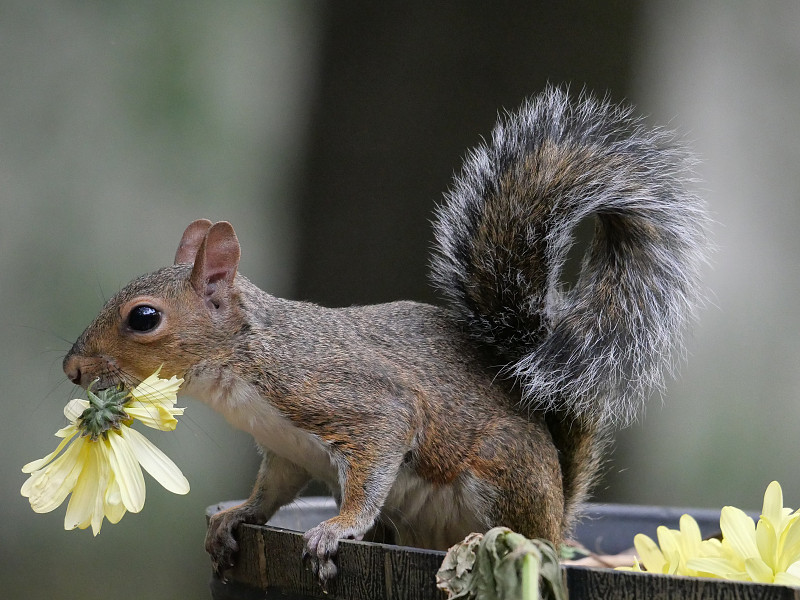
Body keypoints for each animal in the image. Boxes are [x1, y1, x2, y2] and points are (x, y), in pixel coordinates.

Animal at [65, 86, 708, 584]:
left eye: (144, 318)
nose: (72, 370)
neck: (248, 359)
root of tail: (557, 513)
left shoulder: (353, 400)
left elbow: (374, 459)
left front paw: (337, 529)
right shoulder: (285, 450)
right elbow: (272, 493)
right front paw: (234, 517)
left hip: (502, 472)